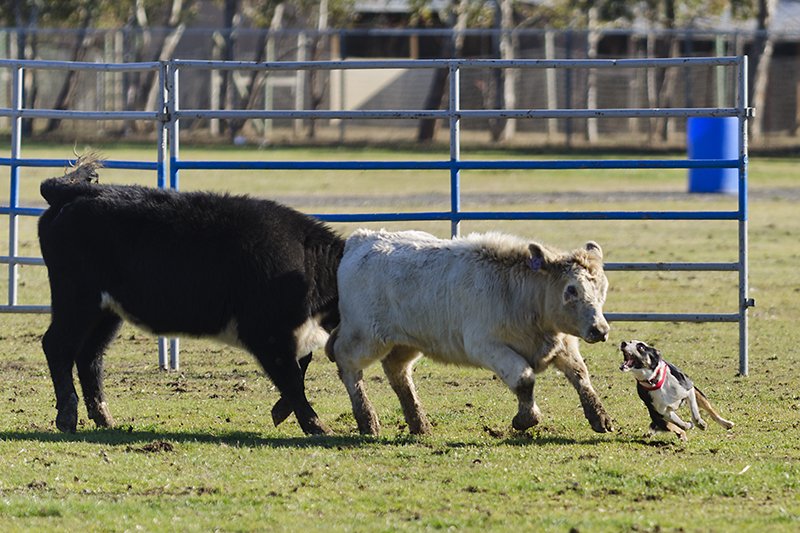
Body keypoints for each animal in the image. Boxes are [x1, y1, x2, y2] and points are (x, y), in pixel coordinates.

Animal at [37, 156, 344, 434]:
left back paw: (104, 418)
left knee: (89, 355)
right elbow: (292, 377)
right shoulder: (267, 333)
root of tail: (76, 192)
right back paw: (67, 416)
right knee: (57, 345)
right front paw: (316, 425)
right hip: (77, 301)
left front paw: (283, 411)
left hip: (106, 311)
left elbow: (301, 366)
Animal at [324, 229, 612, 436]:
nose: (600, 330)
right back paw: (367, 419)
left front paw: (600, 417)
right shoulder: (486, 346)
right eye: (571, 289)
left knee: (397, 371)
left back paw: (419, 424)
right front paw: (525, 419)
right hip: (365, 336)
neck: (518, 294)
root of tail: (361, 239)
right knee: (347, 363)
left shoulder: (564, 344)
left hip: (407, 342)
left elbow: (581, 376)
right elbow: (524, 379)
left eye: (603, 288)